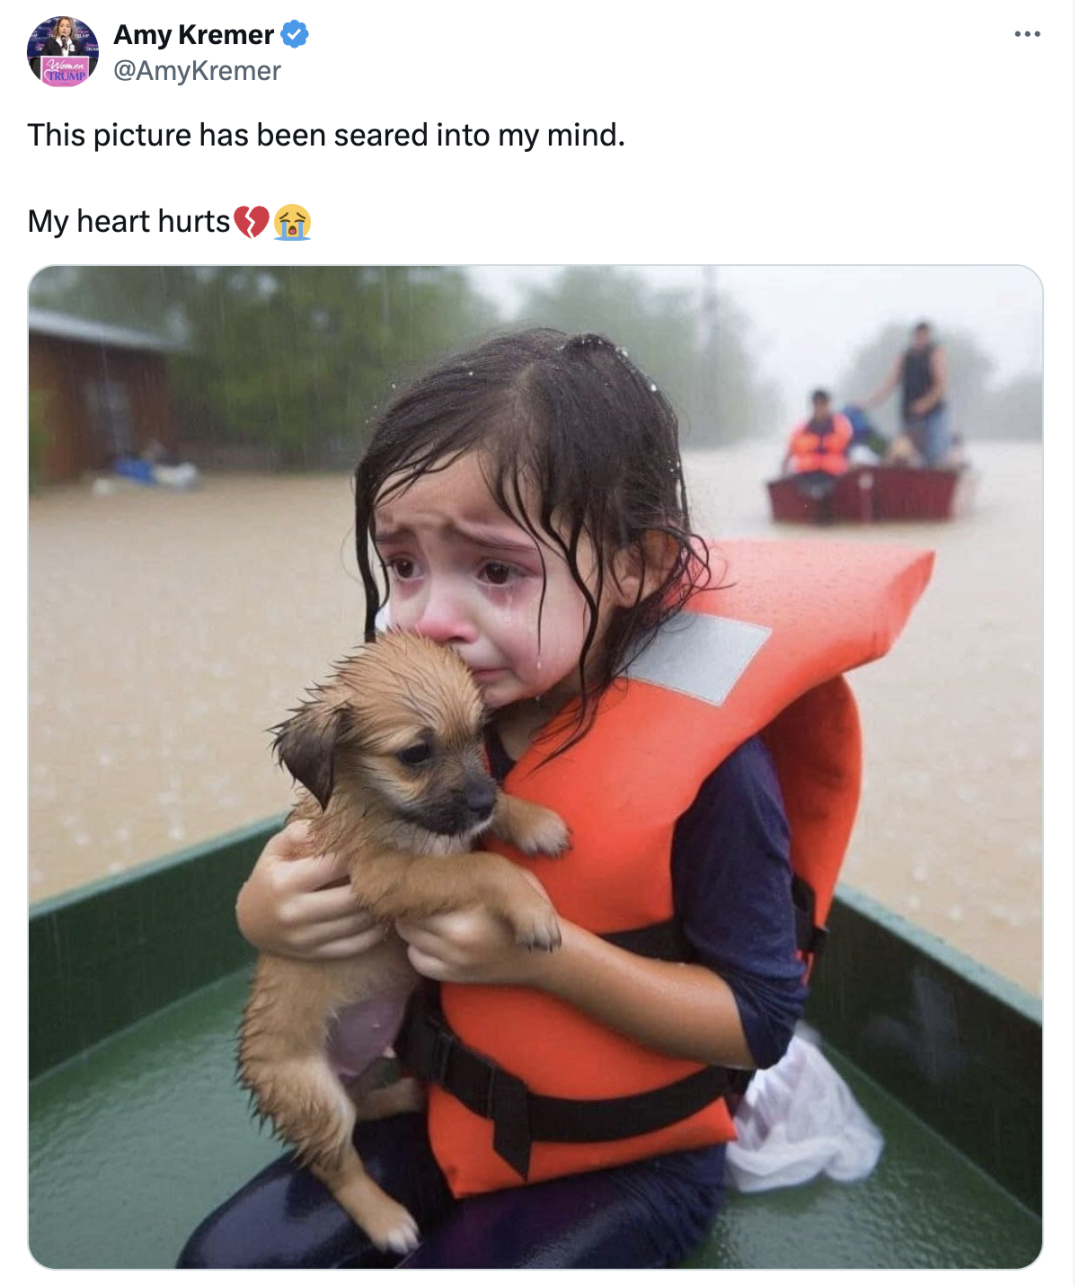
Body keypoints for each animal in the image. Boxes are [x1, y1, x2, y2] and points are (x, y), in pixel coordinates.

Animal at [237, 632, 568, 1254]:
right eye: (416, 753)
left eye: (479, 733)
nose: (482, 803)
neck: (376, 802)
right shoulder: (386, 876)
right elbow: (482, 866)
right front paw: (533, 907)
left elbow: (482, 830)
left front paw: (533, 820)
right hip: (312, 1094)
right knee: (336, 1164)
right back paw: (387, 1219)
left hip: (366, 1062)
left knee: (362, 1106)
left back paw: (406, 1095)